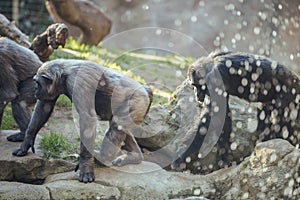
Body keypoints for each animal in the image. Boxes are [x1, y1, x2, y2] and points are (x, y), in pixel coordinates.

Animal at [12, 58, 152, 182]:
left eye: (37, 82)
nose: (35, 90)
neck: (64, 75)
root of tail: (146, 89)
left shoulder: (79, 82)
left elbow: (87, 118)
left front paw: (85, 166)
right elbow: (43, 108)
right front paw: (26, 143)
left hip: (138, 101)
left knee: (117, 126)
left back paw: (102, 158)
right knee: (120, 127)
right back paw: (134, 156)